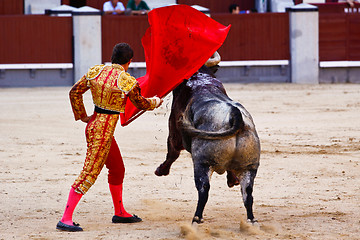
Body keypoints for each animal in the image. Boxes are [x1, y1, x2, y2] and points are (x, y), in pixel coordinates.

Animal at [153, 53, 260, 225]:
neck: (200, 79)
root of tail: (234, 115)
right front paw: (232, 180)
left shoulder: (174, 133)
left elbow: (172, 153)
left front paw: (161, 170)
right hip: (250, 166)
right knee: (248, 193)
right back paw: (251, 220)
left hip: (202, 164)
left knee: (204, 190)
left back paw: (196, 218)